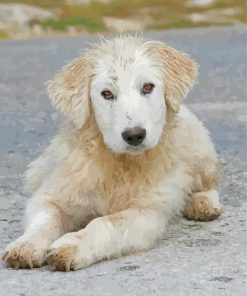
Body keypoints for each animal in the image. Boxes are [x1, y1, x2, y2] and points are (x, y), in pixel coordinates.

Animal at [1, 34, 223, 270]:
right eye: (106, 94)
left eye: (148, 87)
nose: (134, 135)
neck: (120, 162)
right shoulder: (54, 194)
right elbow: (44, 219)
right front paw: (25, 245)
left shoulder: (147, 213)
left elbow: (105, 223)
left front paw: (72, 245)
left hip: (197, 147)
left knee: (209, 181)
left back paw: (204, 203)